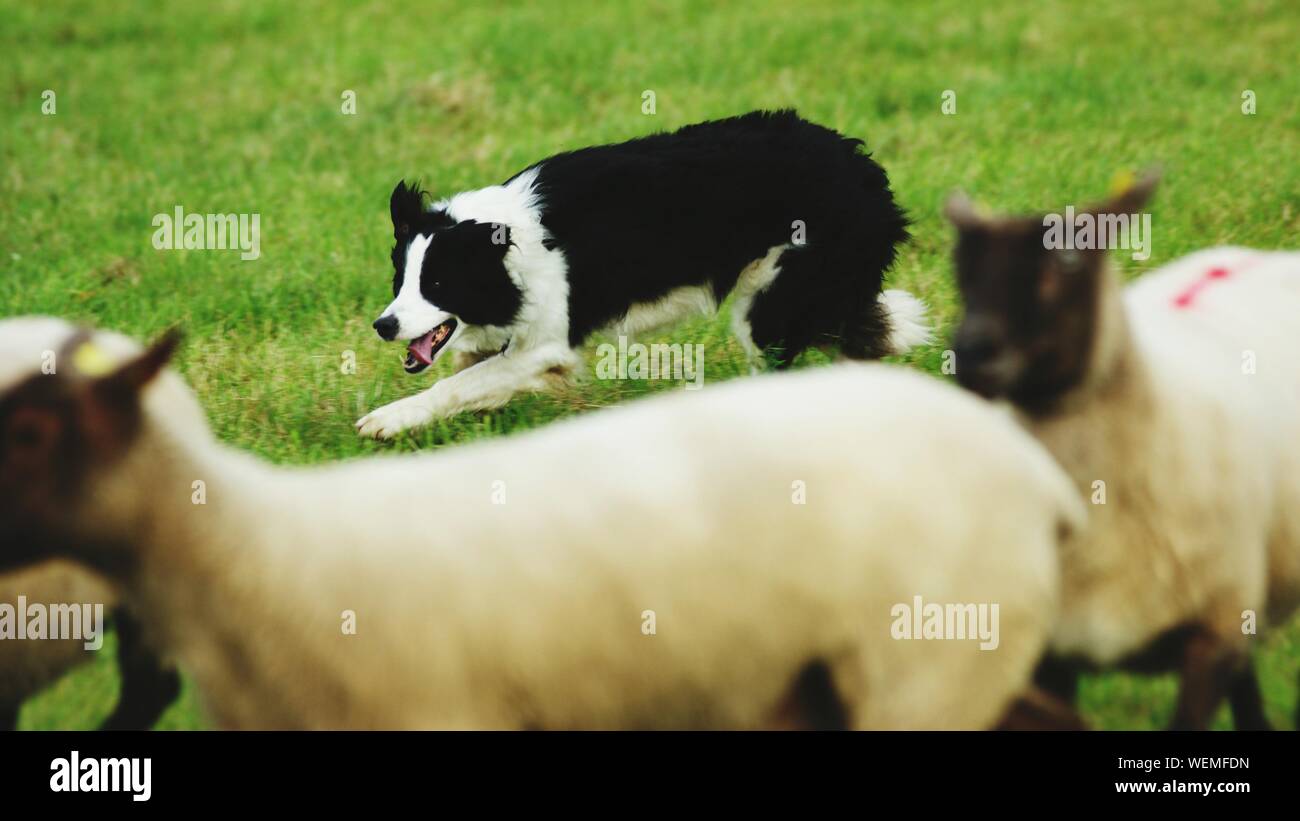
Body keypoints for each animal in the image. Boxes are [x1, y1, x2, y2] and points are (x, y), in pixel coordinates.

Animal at [946, 173, 1300, 729]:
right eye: (962, 268)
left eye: (1067, 262)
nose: (970, 353)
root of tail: (1254, 256)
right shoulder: (1053, 654)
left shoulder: (1210, 640)